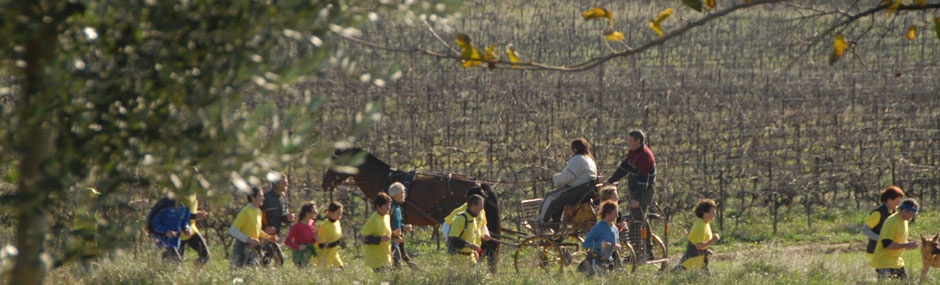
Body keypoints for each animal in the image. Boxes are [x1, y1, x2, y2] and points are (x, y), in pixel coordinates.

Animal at [322, 149, 504, 268]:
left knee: (486, 248)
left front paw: (406, 263)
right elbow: (399, 238)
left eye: (336, 161)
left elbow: (398, 241)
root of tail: (477, 183)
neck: (386, 180)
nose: (324, 183)